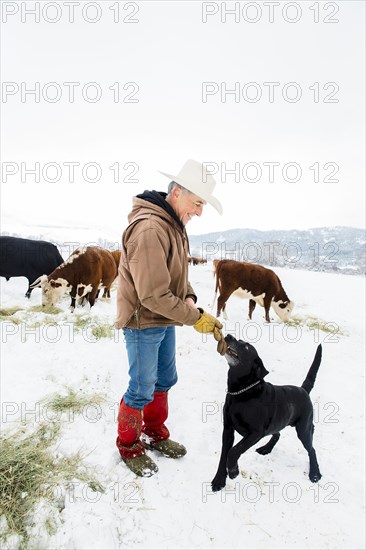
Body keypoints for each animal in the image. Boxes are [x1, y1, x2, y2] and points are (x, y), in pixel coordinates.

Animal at [212, 334, 324, 494]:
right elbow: (224, 454)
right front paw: (219, 480)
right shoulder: (228, 430)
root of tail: (304, 390)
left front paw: (233, 471)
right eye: (239, 340)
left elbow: (234, 451)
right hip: (276, 423)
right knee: (277, 434)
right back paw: (266, 448)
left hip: (304, 428)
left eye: (247, 347)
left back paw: (314, 473)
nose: (228, 336)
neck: (242, 393)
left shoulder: (256, 432)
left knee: (312, 449)